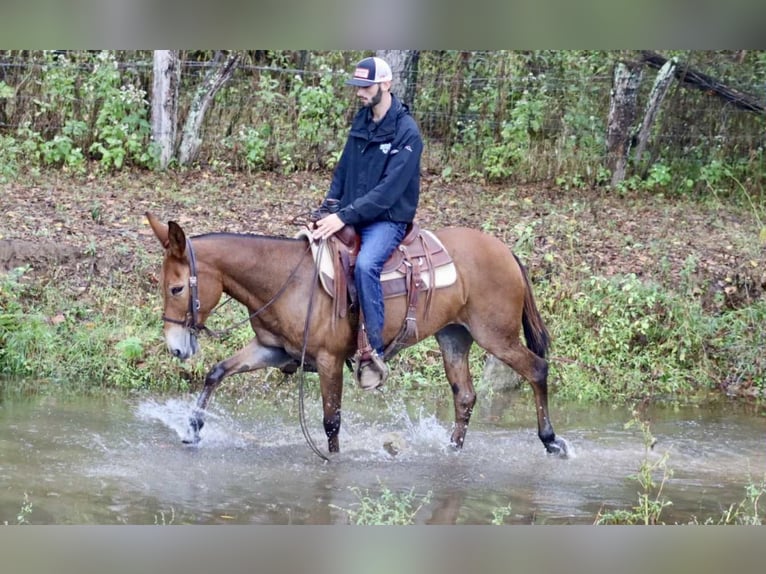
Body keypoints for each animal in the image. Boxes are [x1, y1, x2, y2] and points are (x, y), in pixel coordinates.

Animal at [145, 211, 568, 458]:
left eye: (177, 288)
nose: (175, 348)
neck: (286, 280)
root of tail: (505, 251)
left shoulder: (329, 360)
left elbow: (331, 420)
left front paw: (333, 458)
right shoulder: (271, 349)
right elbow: (216, 372)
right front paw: (193, 429)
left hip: (497, 336)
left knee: (536, 369)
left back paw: (551, 440)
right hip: (454, 337)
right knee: (464, 395)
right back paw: (451, 449)